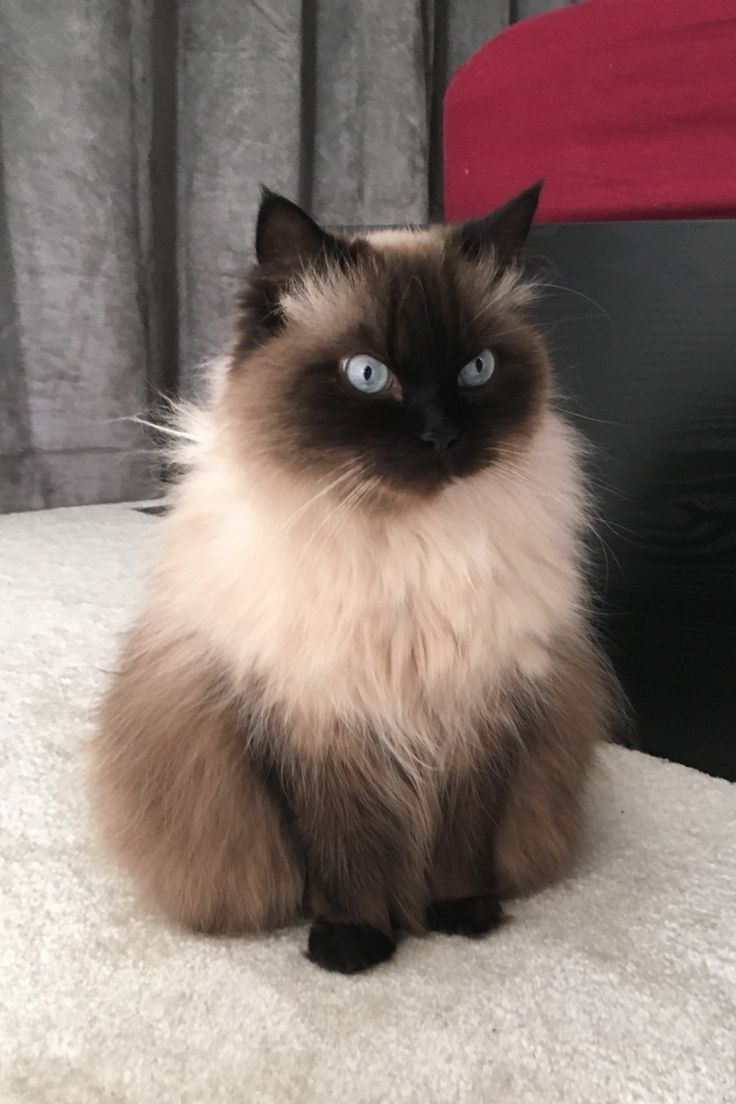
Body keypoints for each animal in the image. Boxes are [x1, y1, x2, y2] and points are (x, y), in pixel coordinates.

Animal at [92, 183, 622, 975]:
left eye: (477, 370)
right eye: (368, 375)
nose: (441, 435)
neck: (407, 545)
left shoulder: (480, 707)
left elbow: (463, 838)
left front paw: (461, 917)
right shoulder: (319, 719)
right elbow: (345, 852)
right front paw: (353, 946)